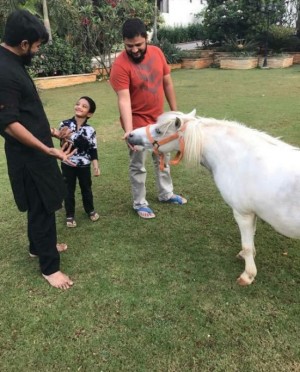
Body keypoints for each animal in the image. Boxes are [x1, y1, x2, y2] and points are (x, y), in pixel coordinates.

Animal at [127, 109, 300, 284]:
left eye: (159, 131)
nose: (130, 135)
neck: (242, 160)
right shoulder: (252, 213)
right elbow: (251, 239)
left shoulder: (242, 214)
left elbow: (247, 245)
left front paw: (248, 275)